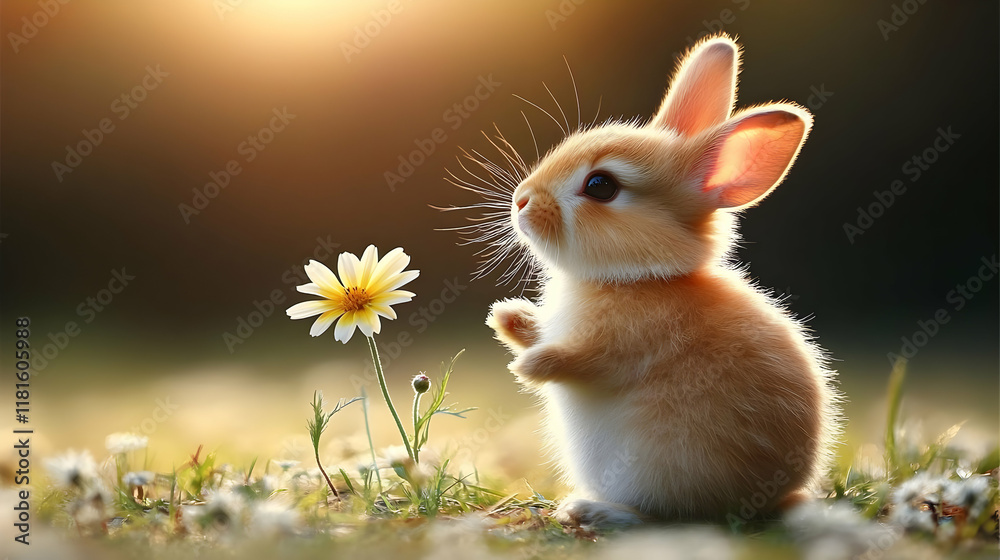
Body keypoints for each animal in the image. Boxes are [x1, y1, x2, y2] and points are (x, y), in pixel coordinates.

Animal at [484, 34, 840, 528]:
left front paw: (529, 367)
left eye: (600, 186)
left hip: (658, 467)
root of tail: (773, 500)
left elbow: (586, 359)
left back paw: (588, 510)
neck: (637, 278)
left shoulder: (622, 342)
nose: (522, 200)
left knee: (666, 518)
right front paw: (506, 318)